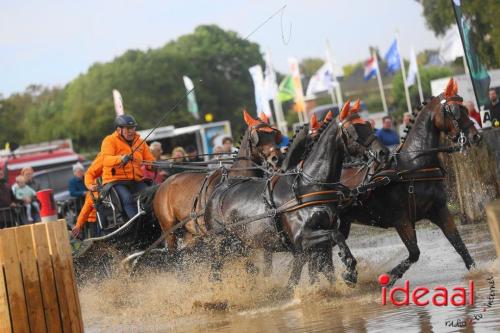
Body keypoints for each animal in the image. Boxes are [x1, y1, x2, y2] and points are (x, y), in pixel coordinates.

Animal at [152, 110, 284, 250]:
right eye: (258, 136)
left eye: (274, 134)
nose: (277, 159)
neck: (237, 176)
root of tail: (164, 184)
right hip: (169, 230)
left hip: (190, 234)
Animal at [203, 107, 386, 288]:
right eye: (352, 130)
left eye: (368, 125)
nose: (383, 152)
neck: (309, 184)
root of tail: (218, 189)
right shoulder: (302, 240)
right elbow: (335, 238)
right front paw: (349, 269)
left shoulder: (315, 241)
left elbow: (322, 268)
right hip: (220, 243)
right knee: (216, 270)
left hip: (242, 244)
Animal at [338, 78, 482, 286]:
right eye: (455, 111)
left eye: (465, 108)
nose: (475, 136)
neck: (414, 166)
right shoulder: (401, 219)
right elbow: (414, 252)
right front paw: (389, 277)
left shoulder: (439, 209)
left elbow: (458, 243)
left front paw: (476, 270)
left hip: (344, 220)